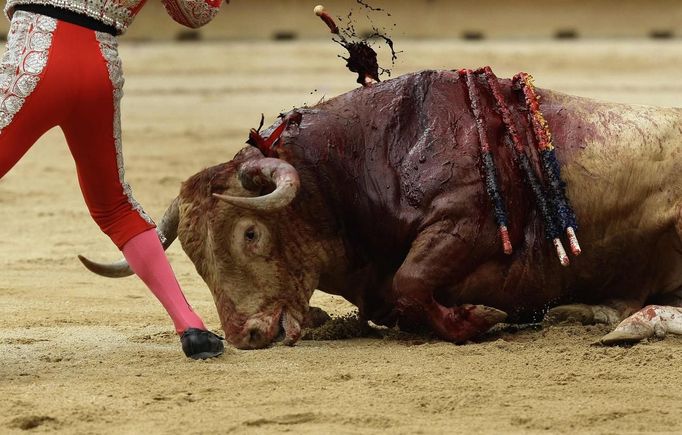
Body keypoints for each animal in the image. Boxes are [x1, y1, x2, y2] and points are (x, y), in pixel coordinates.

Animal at [82, 71, 680, 350]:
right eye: (194, 258)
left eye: (251, 234)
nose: (245, 334)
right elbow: (396, 296)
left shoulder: (468, 222)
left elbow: (409, 281)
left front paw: (481, 319)